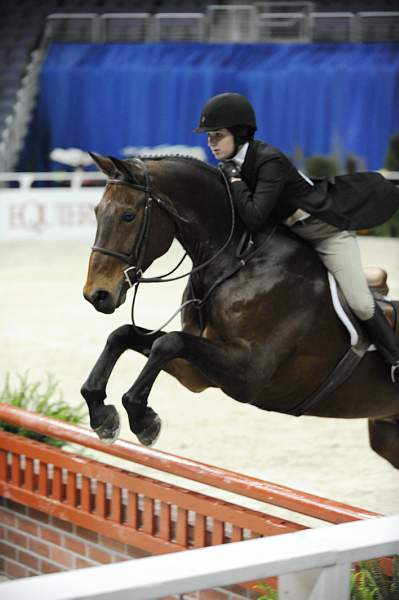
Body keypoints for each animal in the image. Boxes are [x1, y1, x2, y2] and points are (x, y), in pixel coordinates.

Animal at [81, 151, 399, 468]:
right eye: (96, 212)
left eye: (128, 216)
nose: (97, 295)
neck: (237, 261)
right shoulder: (196, 374)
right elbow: (125, 335)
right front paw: (102, 414)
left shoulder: (249, 375)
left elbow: (168, 342)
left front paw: (142, 419)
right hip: (386, 432)